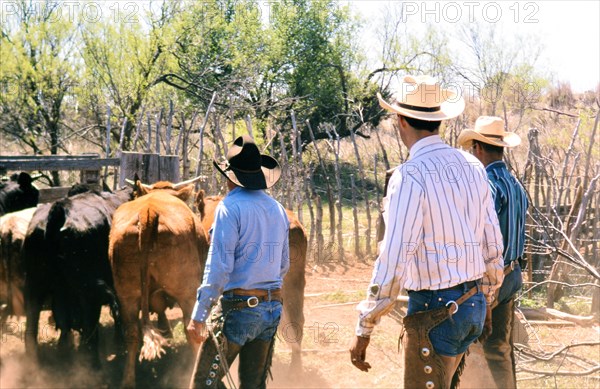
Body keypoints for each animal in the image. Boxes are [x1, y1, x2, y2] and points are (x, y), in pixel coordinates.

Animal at [24, 186, 131, 366]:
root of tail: (58, 213)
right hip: (88, 292)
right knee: (89, 323)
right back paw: (93, 363)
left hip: (35, 287)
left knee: (33, 326)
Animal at [109, 180, 210, 386]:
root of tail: (148, 212)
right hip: (188, 292)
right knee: (192, 331)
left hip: (127, 294)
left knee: (132, 332)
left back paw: (128, 380)